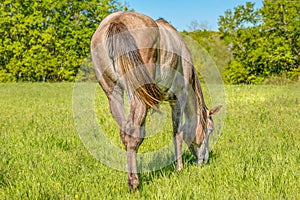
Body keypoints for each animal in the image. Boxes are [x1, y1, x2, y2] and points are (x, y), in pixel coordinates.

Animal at [90, 11, 221, 190]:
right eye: (210, 130)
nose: (204, 160)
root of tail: (117, 20)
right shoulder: (178, 98)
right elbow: (178, 133)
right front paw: (179, 167)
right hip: (138, 96)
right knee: (133, 134)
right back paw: (134, 183)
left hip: (113, 93)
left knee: (125, 133)